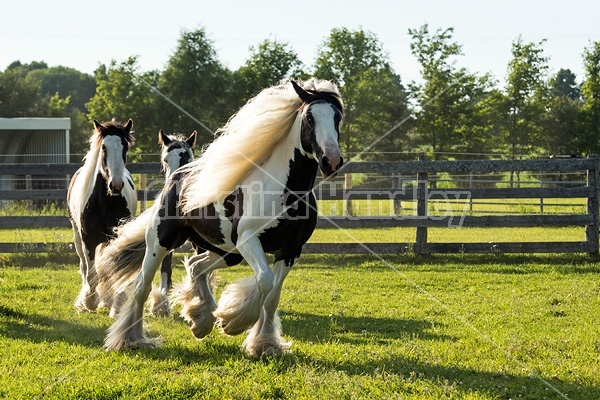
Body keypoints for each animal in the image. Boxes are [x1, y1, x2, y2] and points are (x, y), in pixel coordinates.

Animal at [67, 119, 137, 312]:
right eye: (104, 147)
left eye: (125, 146)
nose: (116, 185)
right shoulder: (87, 239)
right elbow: (90, 272)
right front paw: (88, 302)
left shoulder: (115, 237)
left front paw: (110, 301)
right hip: (77, 237)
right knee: (84, 266)